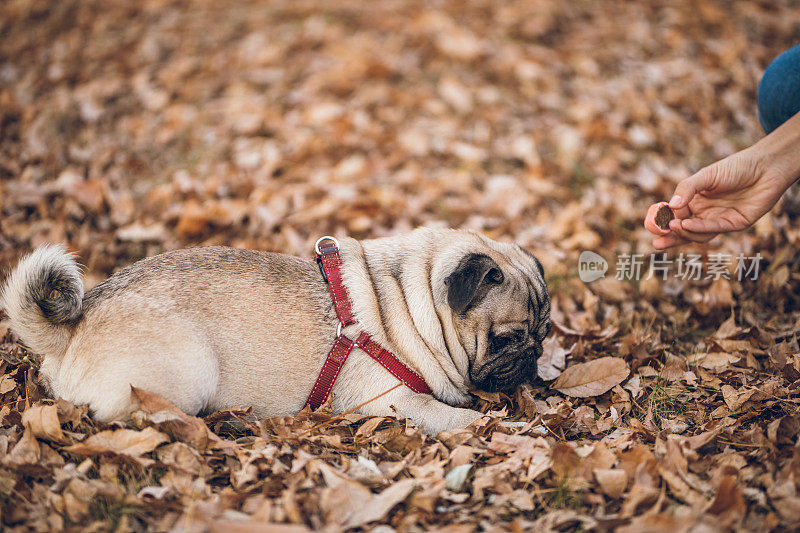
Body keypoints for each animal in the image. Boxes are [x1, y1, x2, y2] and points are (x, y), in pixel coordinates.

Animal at [1, 227, 552, 434]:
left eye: (544, 331)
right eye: (505, 338)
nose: (532, 355)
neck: (406, 300)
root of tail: (71, 328)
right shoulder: (396, 402)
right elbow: (460, 418)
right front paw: (508, 425)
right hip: (189, 369)